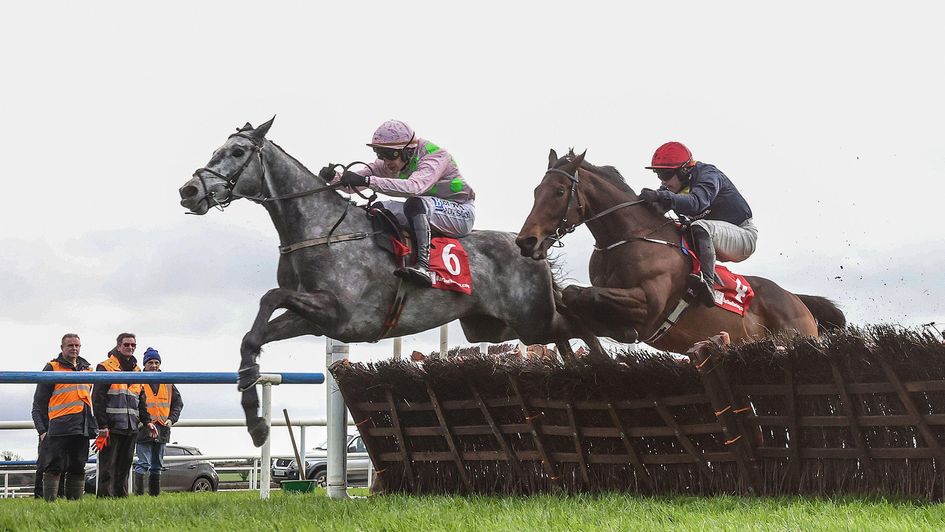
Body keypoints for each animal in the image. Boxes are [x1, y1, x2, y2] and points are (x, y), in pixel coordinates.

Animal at [178, 118, 604, 446]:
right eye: (217, 149)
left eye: (237, 152)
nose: (189, 190)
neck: (322, 230)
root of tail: (530, 247)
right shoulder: (313, 319)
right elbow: (252, 338)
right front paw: (255, 420)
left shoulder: (337, 312)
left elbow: (270, 296)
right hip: (494, 327)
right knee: (567, 330)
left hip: (531, 319)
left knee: (578, 324)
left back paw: (601, 370)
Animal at [512, 149, 844, 354]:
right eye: (535, 191)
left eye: (558, 192)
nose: (526, 241)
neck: (629, 238)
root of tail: (798, 301)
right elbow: (574, 301)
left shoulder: (647, 304)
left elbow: (577, 293)